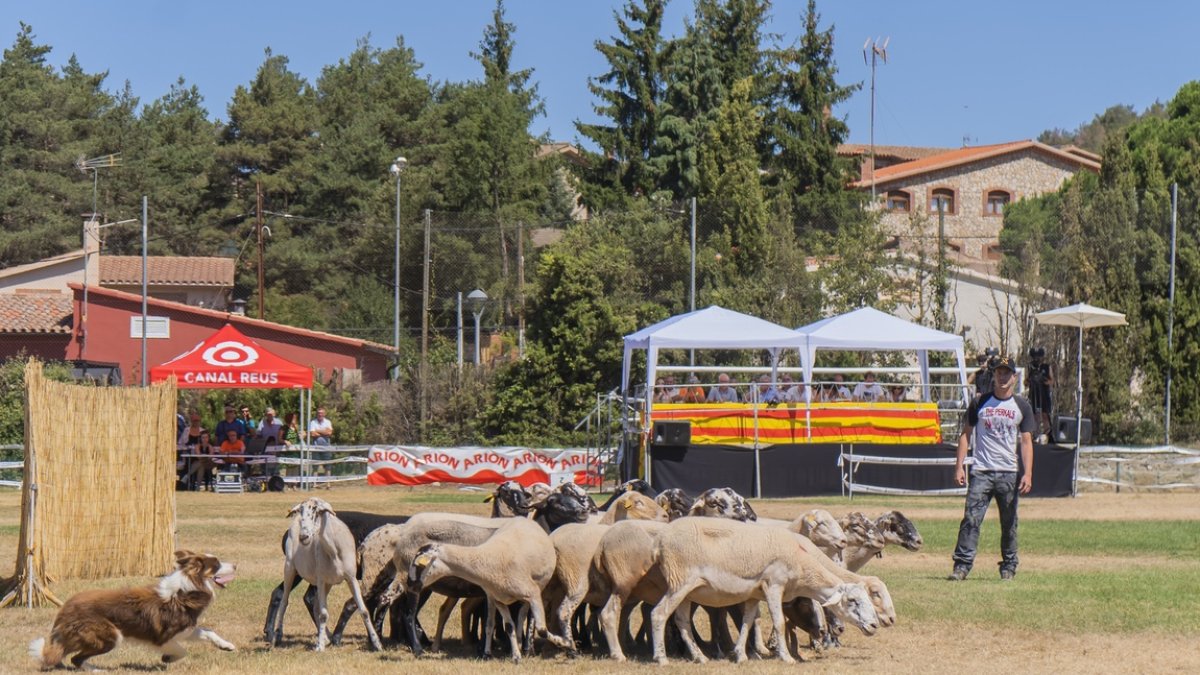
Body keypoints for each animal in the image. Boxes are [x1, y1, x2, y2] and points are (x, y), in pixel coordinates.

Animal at [28, 547, 235, 667]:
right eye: (217, 564)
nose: (235, 565)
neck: (188, 589)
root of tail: (64, 610)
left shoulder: (185, 628)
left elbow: (208, 632)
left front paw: (227, 646)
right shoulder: (163, 637)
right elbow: (183, 650)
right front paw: (167, 658)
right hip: (110, 634)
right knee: (76, 659)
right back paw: (97, 670)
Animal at [270, 497, 381, 648]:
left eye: (317, 511)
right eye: (301, 510)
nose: (303, 537)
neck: (334, 550)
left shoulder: (351, 578)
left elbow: (363, 610)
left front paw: (377, 643)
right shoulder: (321, 580)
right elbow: (323, 614)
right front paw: (319, 647)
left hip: (327, 582)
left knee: (314, 603)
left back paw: (326, 637)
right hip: (290, 569)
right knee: (284, 601)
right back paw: (277, 635)